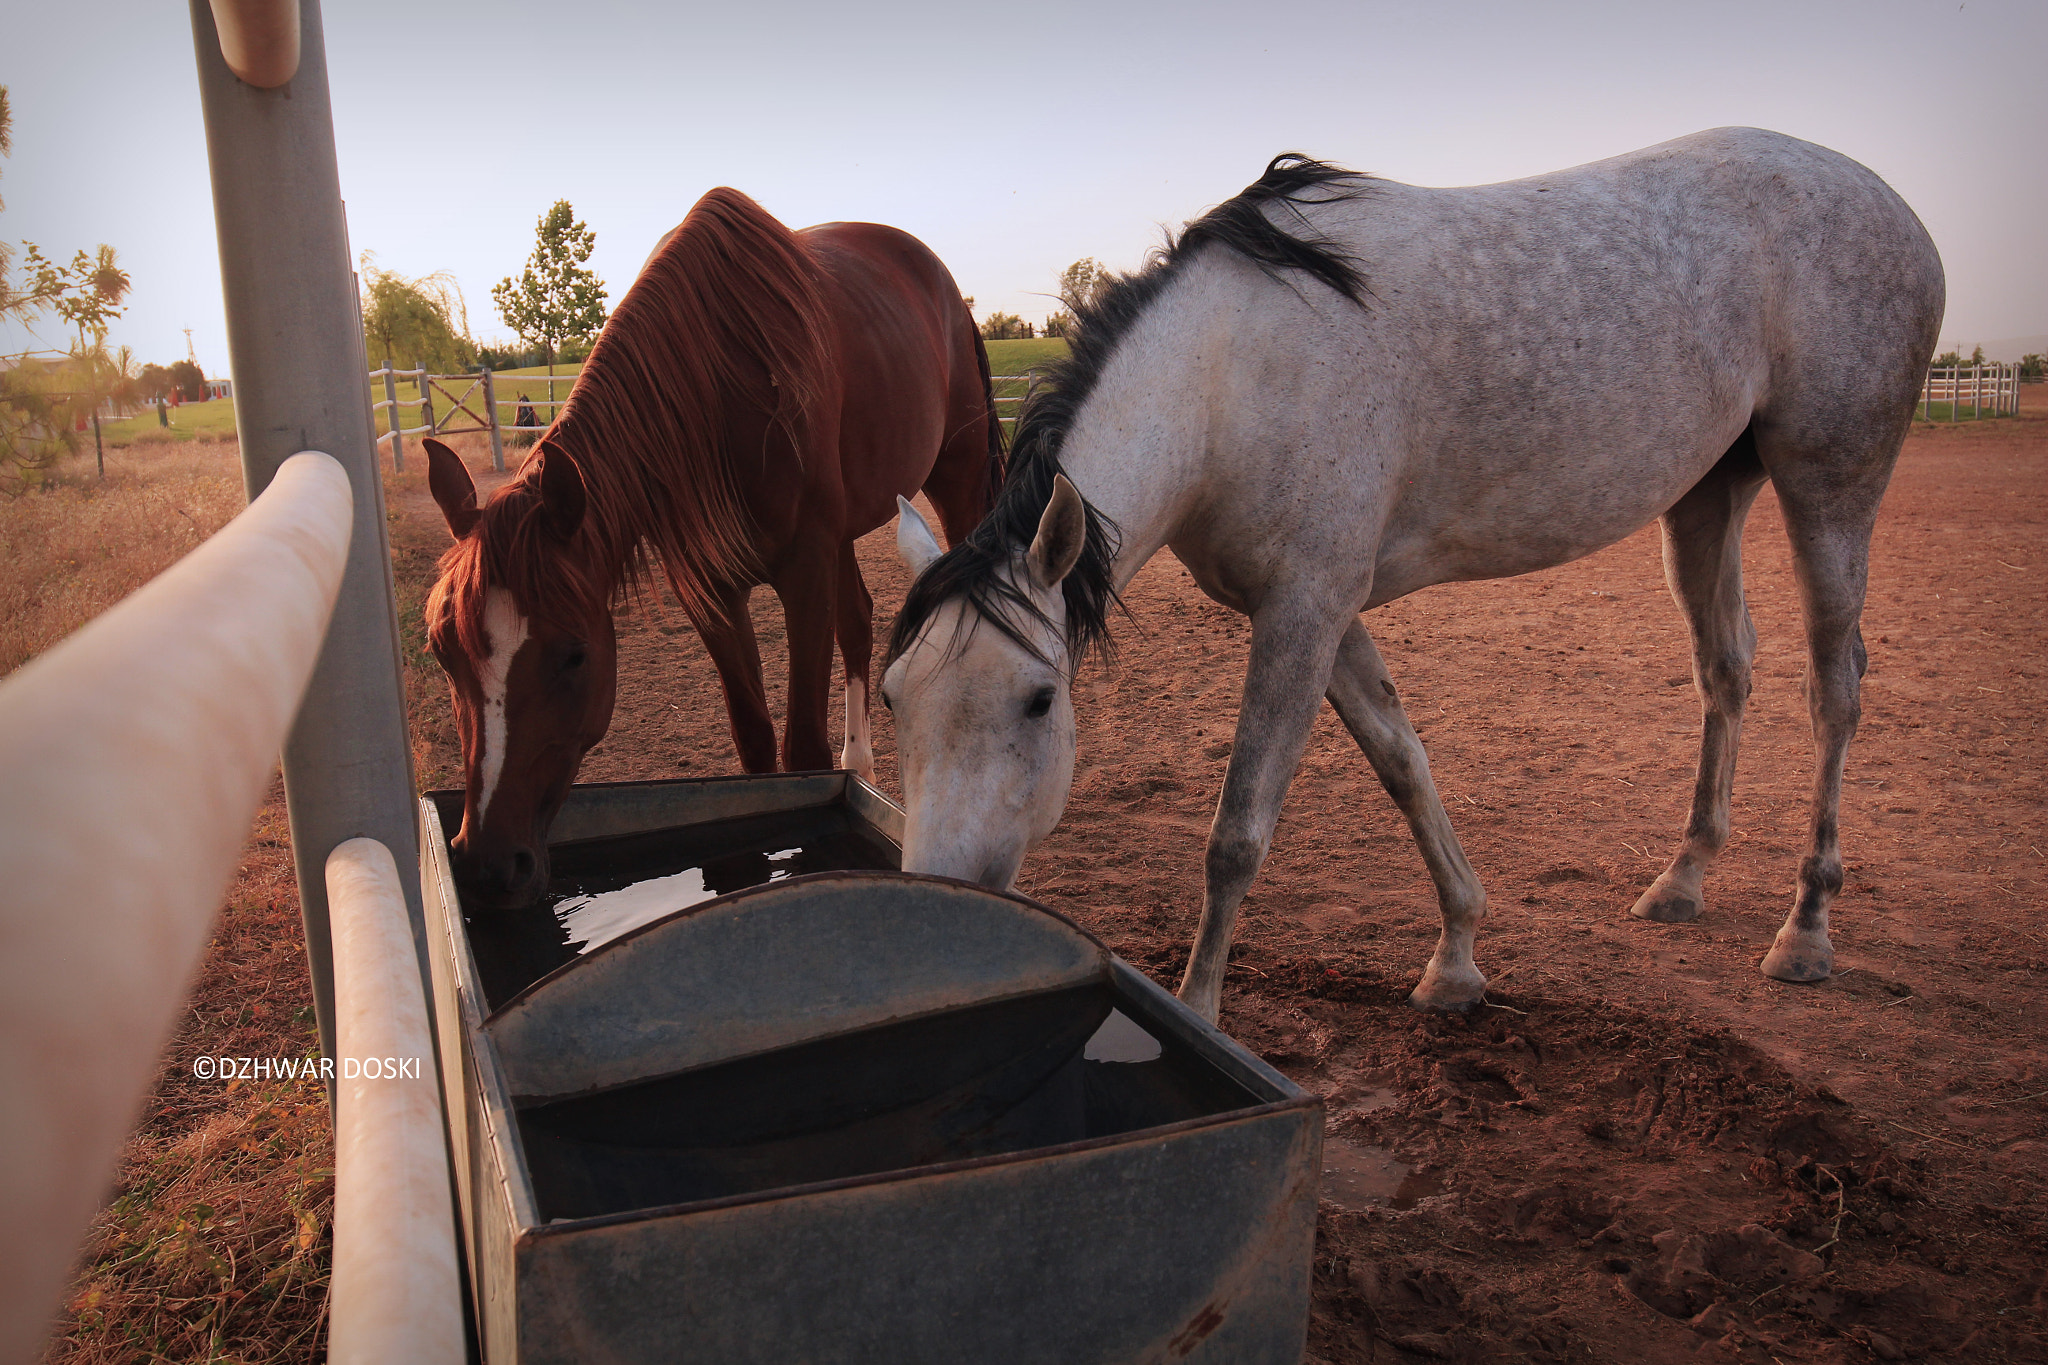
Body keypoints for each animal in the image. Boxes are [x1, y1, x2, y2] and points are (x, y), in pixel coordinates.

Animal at [423, 184, 999, 908]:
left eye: (574, 655)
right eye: (442, 651)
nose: (489, 865)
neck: (720, 394)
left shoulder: (803, 572)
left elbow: (803, 751)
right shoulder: (712, 594)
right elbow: (754, 746)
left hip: (956, 480)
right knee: (859, 623)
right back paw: (861, 762)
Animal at [880, 130, 1933, 1023]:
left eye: (1039, 700)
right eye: (892, 698)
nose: (940, 907)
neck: (1234, 373)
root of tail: (1894, 207)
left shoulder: (1301, 613)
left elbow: (1237, 833)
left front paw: (1201, 1014)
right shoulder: (1326, 612)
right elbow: (1403, 761)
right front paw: (1457, 956)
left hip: (1830, 488)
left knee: (1835, 688)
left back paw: (1806, 929)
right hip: (1708, 498)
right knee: (1727, 668)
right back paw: (1684, 877)